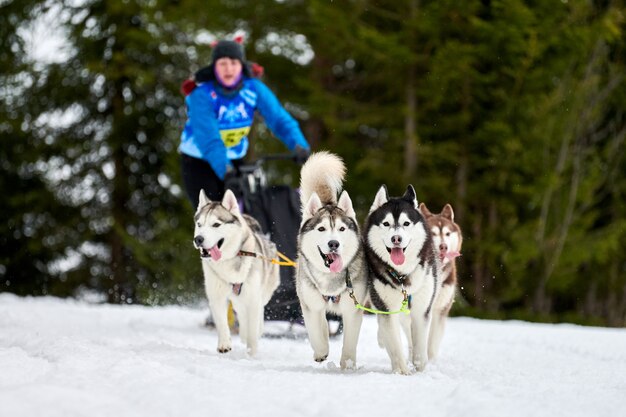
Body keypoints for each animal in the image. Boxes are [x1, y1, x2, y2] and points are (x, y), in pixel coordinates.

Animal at [191, 188, 276, 354]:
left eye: (216, 224)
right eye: (199, 224)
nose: (198, 239)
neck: (228, 260)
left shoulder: (253, 298)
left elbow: (253, 329)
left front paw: (252, 352)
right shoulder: (217, 297)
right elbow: (222, 323)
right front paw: (224, 344)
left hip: (262, 293)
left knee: (258, 313)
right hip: (238, 300)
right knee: (242, 315)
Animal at [296, 151, 368, 368]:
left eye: (342, 229)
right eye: (321, 229)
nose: (334, 243)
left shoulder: (353, 309)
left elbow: (350, 340)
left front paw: (348, 363)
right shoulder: (310, 305)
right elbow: (315, 333)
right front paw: (321, 352)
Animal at [364, 185, 436, 374]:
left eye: (406, 223)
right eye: (386, 223)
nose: (396, 238)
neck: (403, 276)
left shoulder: (421, 310)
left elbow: (419, 347)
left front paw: (420, 369)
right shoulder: (386, 309)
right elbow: (395, 345)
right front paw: (402, 372)